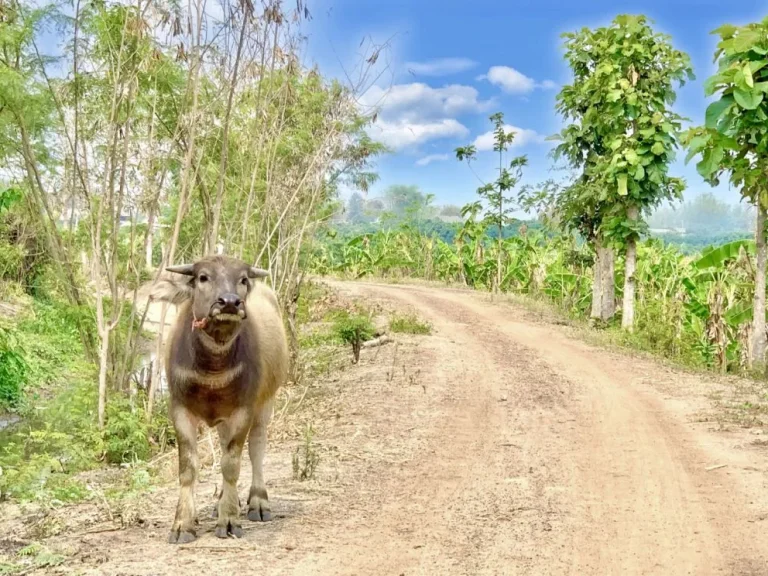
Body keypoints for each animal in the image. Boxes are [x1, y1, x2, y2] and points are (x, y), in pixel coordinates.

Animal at [150, 255, 288, 544]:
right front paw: (183, 524)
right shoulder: (179, 409)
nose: (230, 303)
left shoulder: (243, 411)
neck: (211, 369)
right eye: (203, 277)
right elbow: (188, 467)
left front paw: (230, 521)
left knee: (256, 447)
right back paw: (223, 502)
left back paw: (258, 502)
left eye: (243, 279)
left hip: (266, 401)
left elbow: (231, 465)